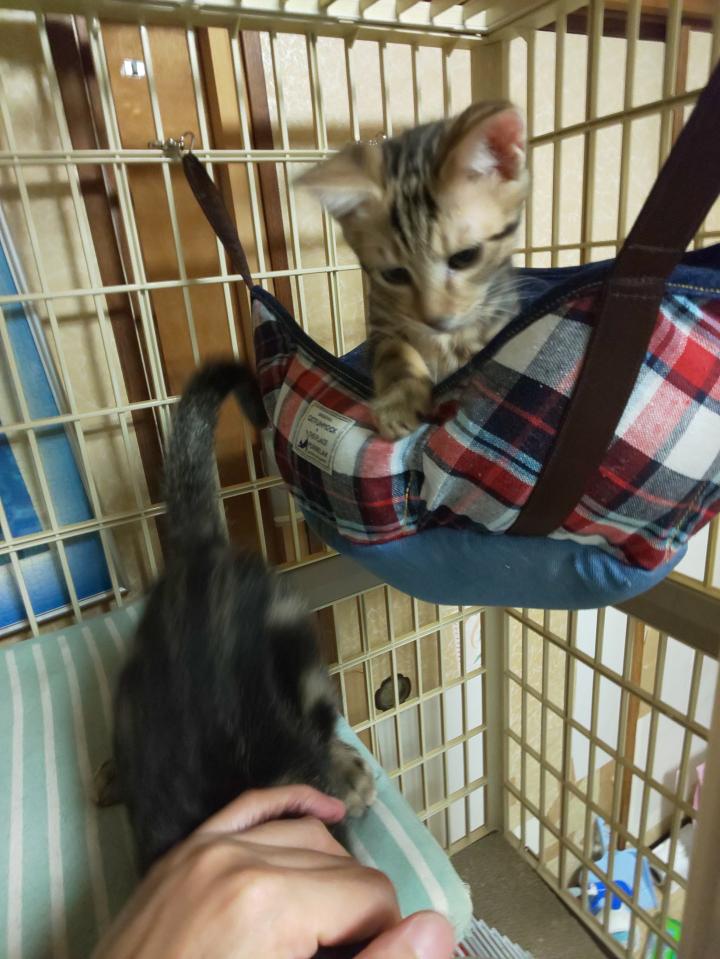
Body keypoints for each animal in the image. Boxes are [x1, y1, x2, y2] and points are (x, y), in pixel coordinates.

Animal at [297, 101, 529, 439]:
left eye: (465, 257)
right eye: (394, 275)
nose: (436, 320)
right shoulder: (382, 325)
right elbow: (394, 355)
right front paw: (399, 402)